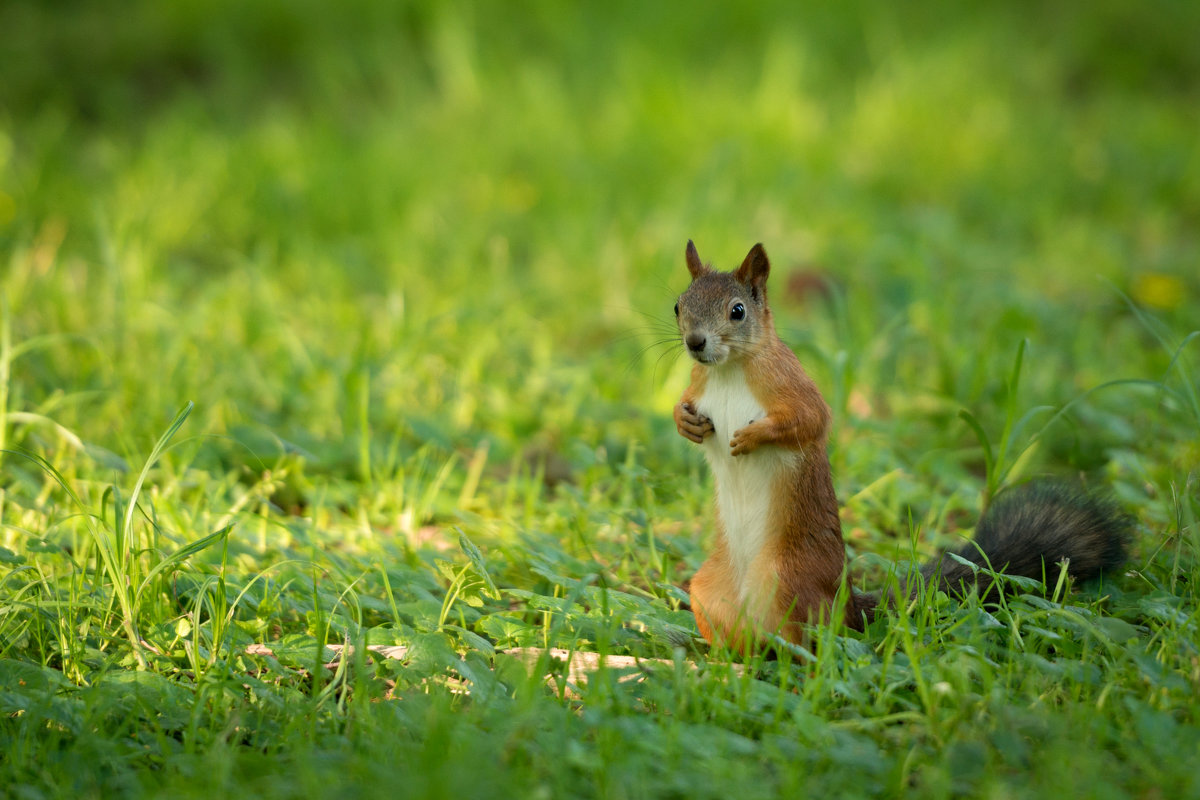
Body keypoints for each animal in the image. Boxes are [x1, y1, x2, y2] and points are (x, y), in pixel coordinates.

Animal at [676, 237, 1132, 652]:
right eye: (678, 306)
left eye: (737, 311)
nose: (695, 343)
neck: (729, 370)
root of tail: (846, 602)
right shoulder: (700, 384)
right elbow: (686, 408)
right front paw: (686, 421)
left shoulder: (790, 383)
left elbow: (810, 421)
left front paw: (750, 437)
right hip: (709, 591)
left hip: (785, 581)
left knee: (808, 644)